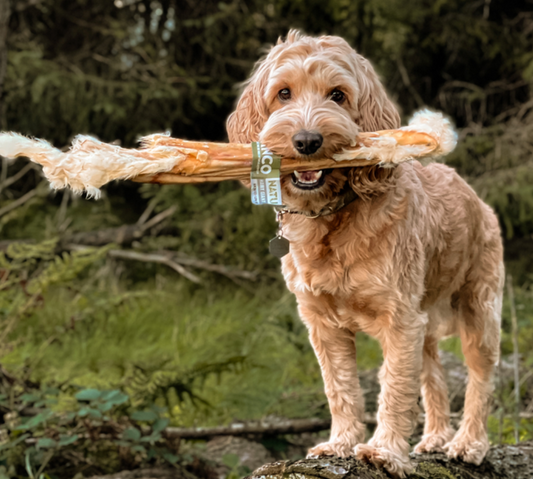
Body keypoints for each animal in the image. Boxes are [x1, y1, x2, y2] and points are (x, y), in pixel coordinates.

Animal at [224, 31, 502, 478]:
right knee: (434, 374)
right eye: (283, 93)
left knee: (480, 379)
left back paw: (468, 443)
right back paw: (436, 436)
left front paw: (384, 451)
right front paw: (340, 444)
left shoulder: (400, 319)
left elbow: (395, 389)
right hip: (426, 317)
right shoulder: (323, 323)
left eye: (338, 95)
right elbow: (341, 388)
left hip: (479, 309)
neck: (331, 219)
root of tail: (470, 191)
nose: (307, 141)